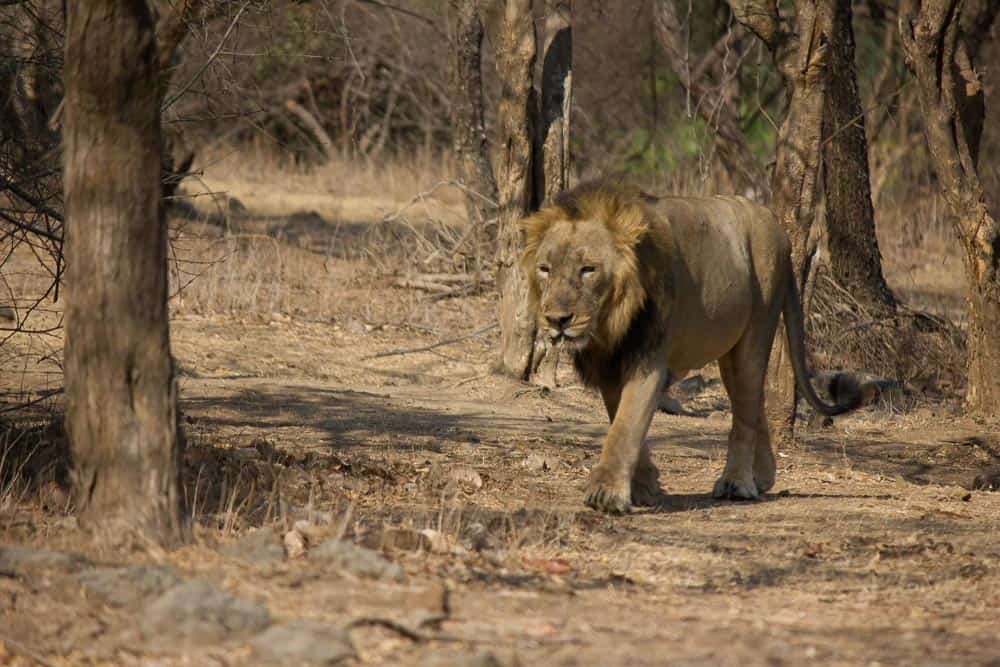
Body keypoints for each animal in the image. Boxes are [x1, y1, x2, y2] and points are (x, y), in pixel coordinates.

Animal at [520, 176, 864, 512]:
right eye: (545, 269)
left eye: (588, 269)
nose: (557, 320)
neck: (609, 324)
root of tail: (780, 231)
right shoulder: (610, 365)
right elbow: (623, 423)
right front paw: (646, 485)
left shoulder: (648, 360)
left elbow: (624, 427)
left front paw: (607, 493)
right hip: (728, 354)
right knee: (752, 405)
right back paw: (764, 476)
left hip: (757, 331)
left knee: (746, 410)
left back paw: (738, 484)